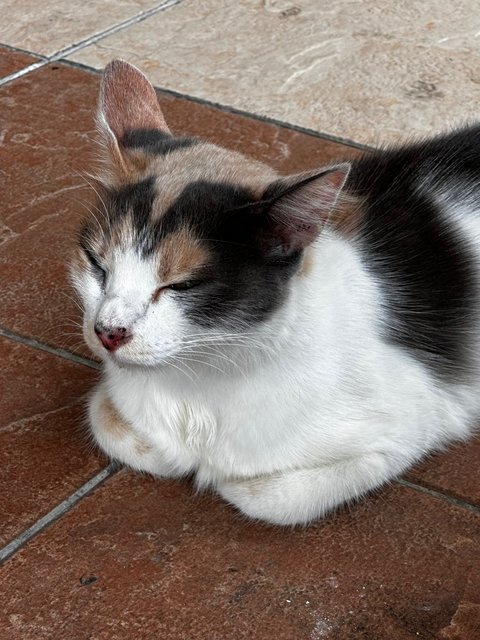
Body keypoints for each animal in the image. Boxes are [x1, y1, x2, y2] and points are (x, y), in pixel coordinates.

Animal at [71, 58, 480, 524]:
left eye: (183, 285)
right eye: (96, 264)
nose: (108, 332)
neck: (203, 377)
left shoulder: (416, 421)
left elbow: (264, 494)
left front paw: (218, 474)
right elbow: (108, 419)